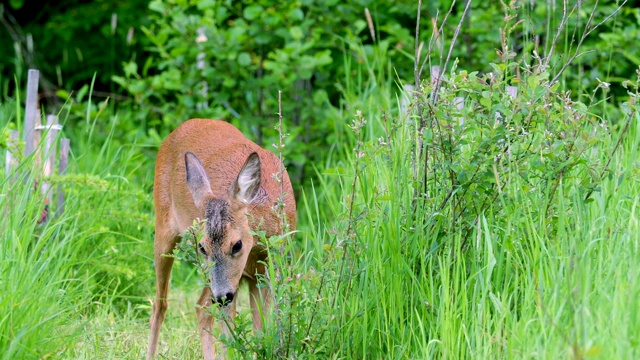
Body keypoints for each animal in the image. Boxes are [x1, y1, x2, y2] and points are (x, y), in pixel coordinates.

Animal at [146, 119, 296, 360]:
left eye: (237, 244)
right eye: (202, 247)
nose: (221, 296)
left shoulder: (266, 270)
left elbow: (261, 330)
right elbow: (230, 337)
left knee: (201, 307)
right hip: (164, 231)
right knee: (161, 305)